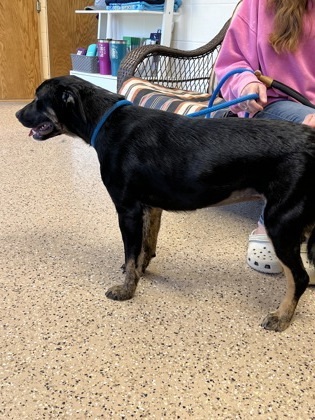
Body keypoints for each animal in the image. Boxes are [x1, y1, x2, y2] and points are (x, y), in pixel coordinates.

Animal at [15, 75, 315, 332]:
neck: (108, 122)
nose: (17, 114)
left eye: (38, 100)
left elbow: (131, 252)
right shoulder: (150, 207)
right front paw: (140, 272)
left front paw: (126, 290)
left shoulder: (127, 209)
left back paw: (282, 317)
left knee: (299, 278)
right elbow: (145, 247)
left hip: (280, 222)